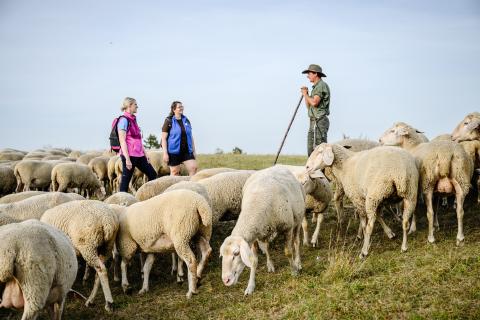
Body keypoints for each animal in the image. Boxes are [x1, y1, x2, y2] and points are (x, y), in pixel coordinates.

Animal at [218, 166, 304, 296]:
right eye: (222, 255)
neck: (256, 203)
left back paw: (298, 262)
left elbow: (288, 252)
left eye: (236, 253)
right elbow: (253, 261)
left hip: (298, 219)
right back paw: (270, 265)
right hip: (265, 230)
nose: (226, 280)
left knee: (297, 242)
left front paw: (294, 270)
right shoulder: (253, 236)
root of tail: (278, 166)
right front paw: (250, 286)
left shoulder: (287, 227)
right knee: (267, 247)